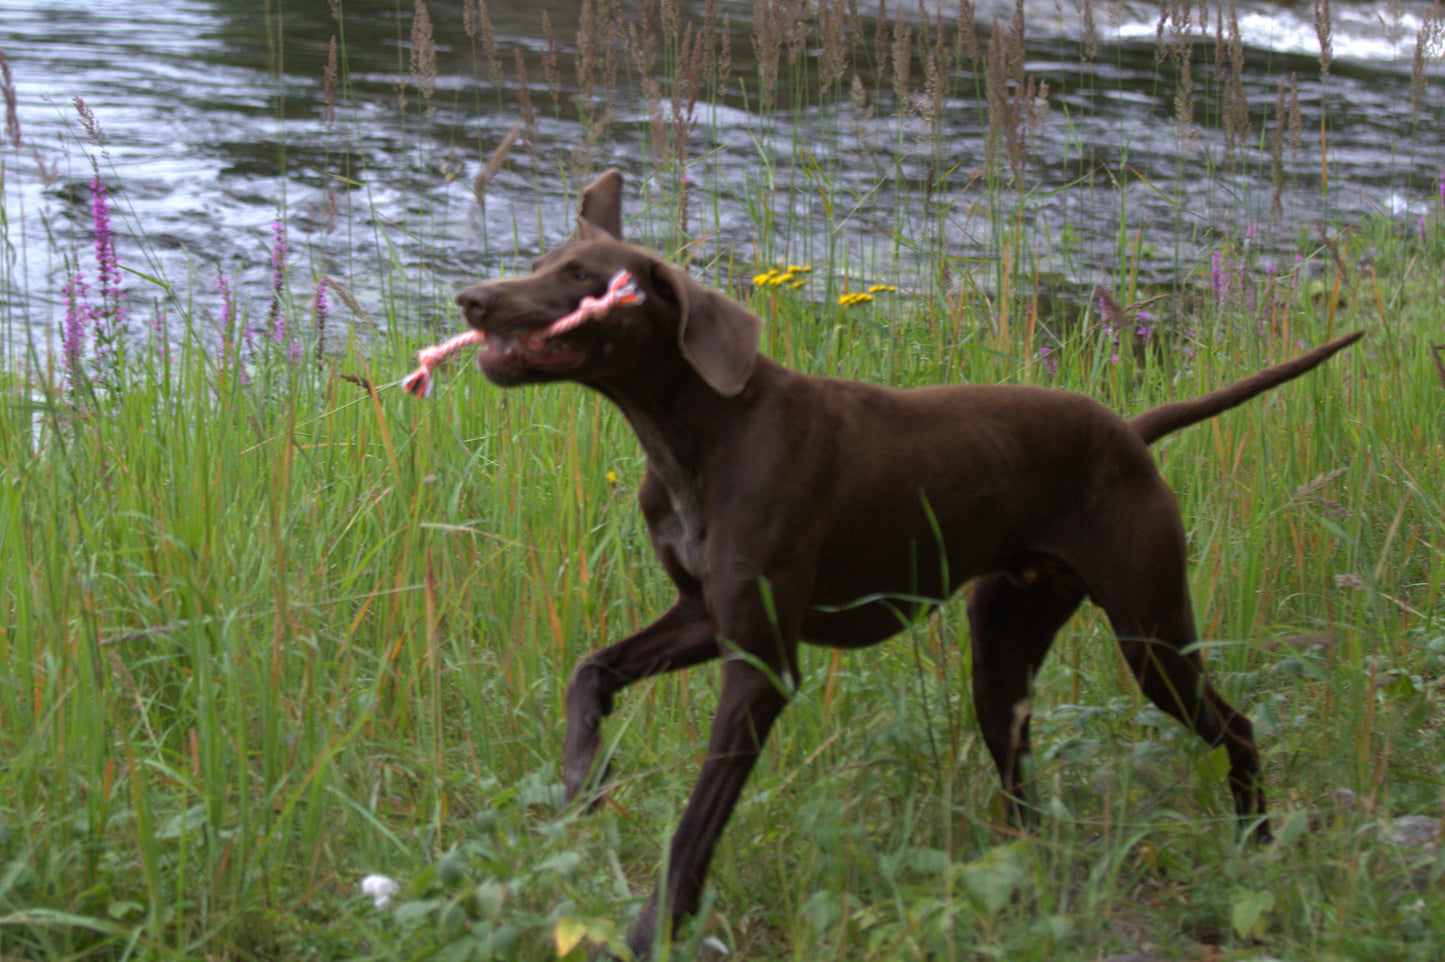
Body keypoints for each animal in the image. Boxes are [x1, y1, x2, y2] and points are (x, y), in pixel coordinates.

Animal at [453, 170, 1364, 953]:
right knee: (1025, 802)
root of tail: (1130, 434)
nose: (472, 299)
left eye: (582, 277)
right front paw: (581, 773)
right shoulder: (704, 620)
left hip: (1151, 638)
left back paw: (1256, 841)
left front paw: (655, 930)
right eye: (544, 263)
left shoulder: (760, 667)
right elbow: (591, 672)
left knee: (1236, 726)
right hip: (1002, 658)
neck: (695, 436)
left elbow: (695, 823)